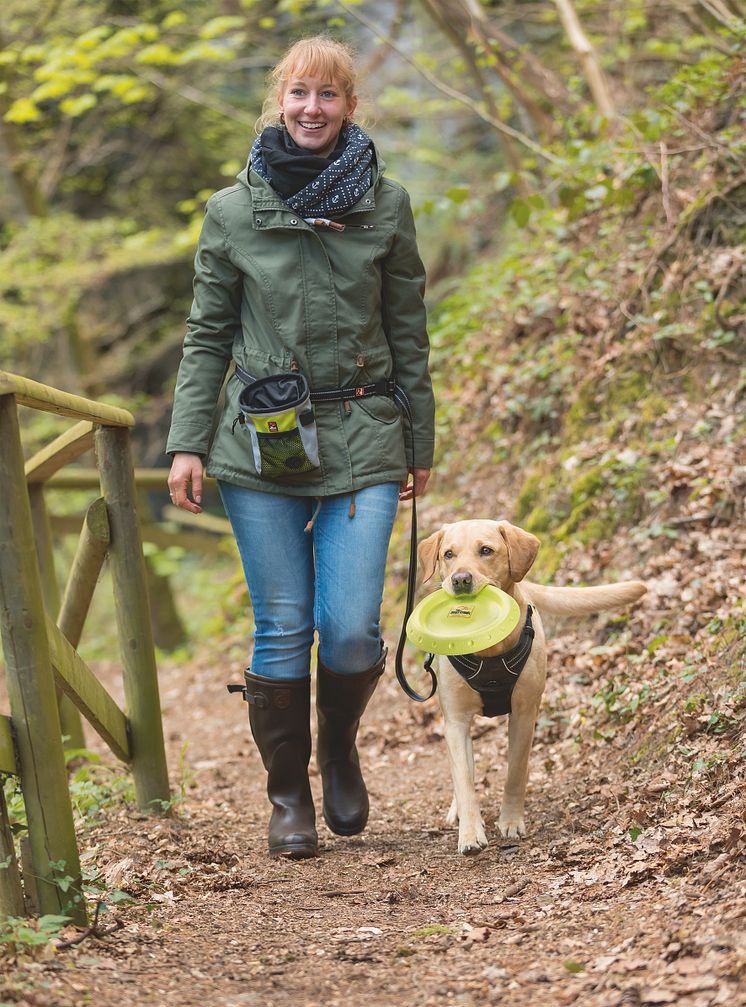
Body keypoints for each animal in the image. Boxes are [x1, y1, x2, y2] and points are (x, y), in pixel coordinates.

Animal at [418, 519, 644, 857]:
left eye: (486, 551)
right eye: (448, 554)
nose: (459, 580)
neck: (489, 652)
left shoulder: (524, 714)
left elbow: (515, 772)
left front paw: (511, 821)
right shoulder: (455, 721)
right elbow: (465, 780)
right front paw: (470, 833)